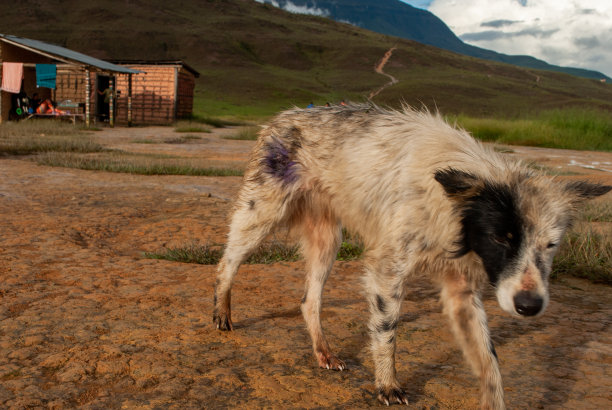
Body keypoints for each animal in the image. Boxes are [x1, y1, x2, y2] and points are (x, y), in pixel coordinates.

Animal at [213, 105, 608, 406]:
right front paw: (387, 385)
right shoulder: (386, 271)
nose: (530, 306)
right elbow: (387, 332)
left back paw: (324, 352)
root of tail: (282, 116)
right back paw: (222, 312)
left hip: (328, 240)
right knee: (226, 262)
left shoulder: (462, 292)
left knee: (309, 300)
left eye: (551, 244)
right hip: (261, 214)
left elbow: (490, 365)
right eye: (500, 237)